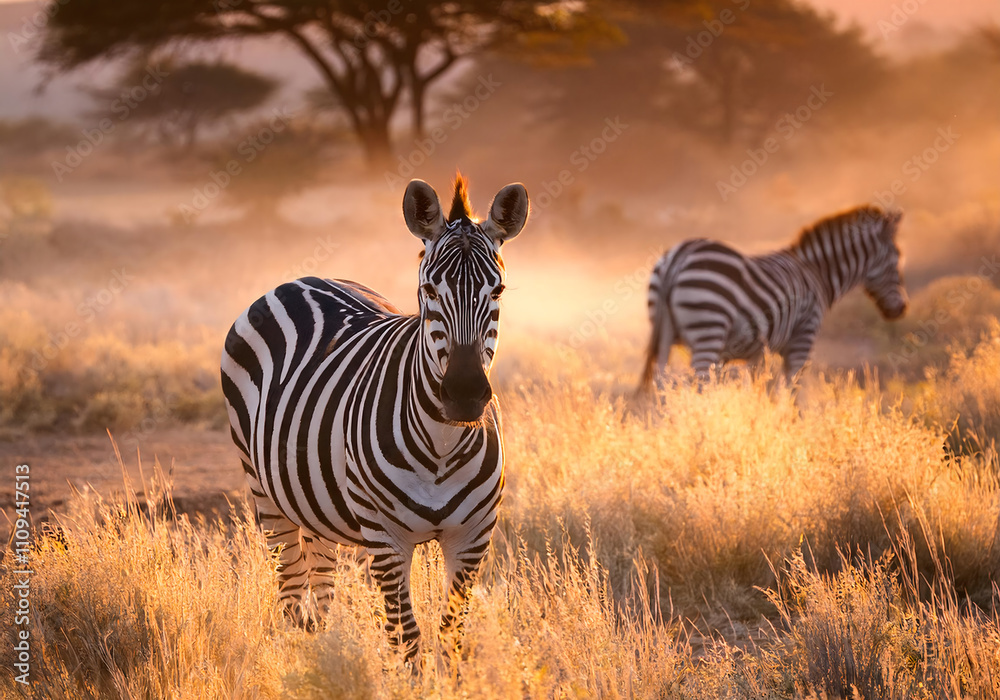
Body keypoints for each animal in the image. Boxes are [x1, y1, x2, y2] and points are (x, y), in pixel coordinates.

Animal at [220, 175, 529, 663]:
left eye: (496, 292)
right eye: (428, 291)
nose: (463, 396)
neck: (442, 447)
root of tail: (302, 278)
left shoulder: (473, 539)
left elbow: (450, 640)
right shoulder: (386, 541)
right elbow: (407, 640)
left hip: (314, 502)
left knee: (320, 589)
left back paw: (320, 652)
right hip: (263, 490)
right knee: (289, 591)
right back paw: (298, 663)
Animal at [640, 205, 907, 388]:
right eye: (897, 257)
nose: (901, 309)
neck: (816, 272)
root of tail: (679, 255)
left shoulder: (756, 353)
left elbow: (760, 389)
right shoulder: (803, 337)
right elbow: (790, 390)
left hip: (664, 334)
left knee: (661, 383)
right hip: (709, 328)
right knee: (700, 383)